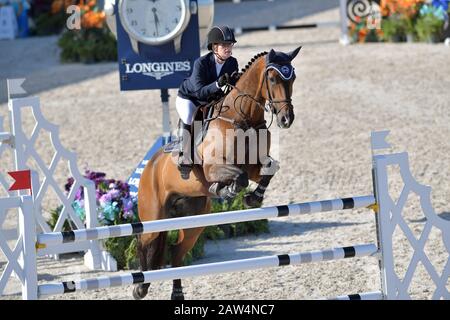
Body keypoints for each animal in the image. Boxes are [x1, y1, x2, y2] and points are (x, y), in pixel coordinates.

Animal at [134, 45, 302, 300]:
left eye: (292, 78)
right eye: (272, 78)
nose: (286, 119)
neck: (242, 117)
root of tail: (148, 168)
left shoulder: (254, 165)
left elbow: (270, 169)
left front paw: (252, 198)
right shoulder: (214, 168)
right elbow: (238, 177)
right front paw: (225, 190)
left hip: (194, 221)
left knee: (176, 251)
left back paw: (177, 293)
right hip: (153, 216)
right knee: (144, 241)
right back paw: (140, 287)